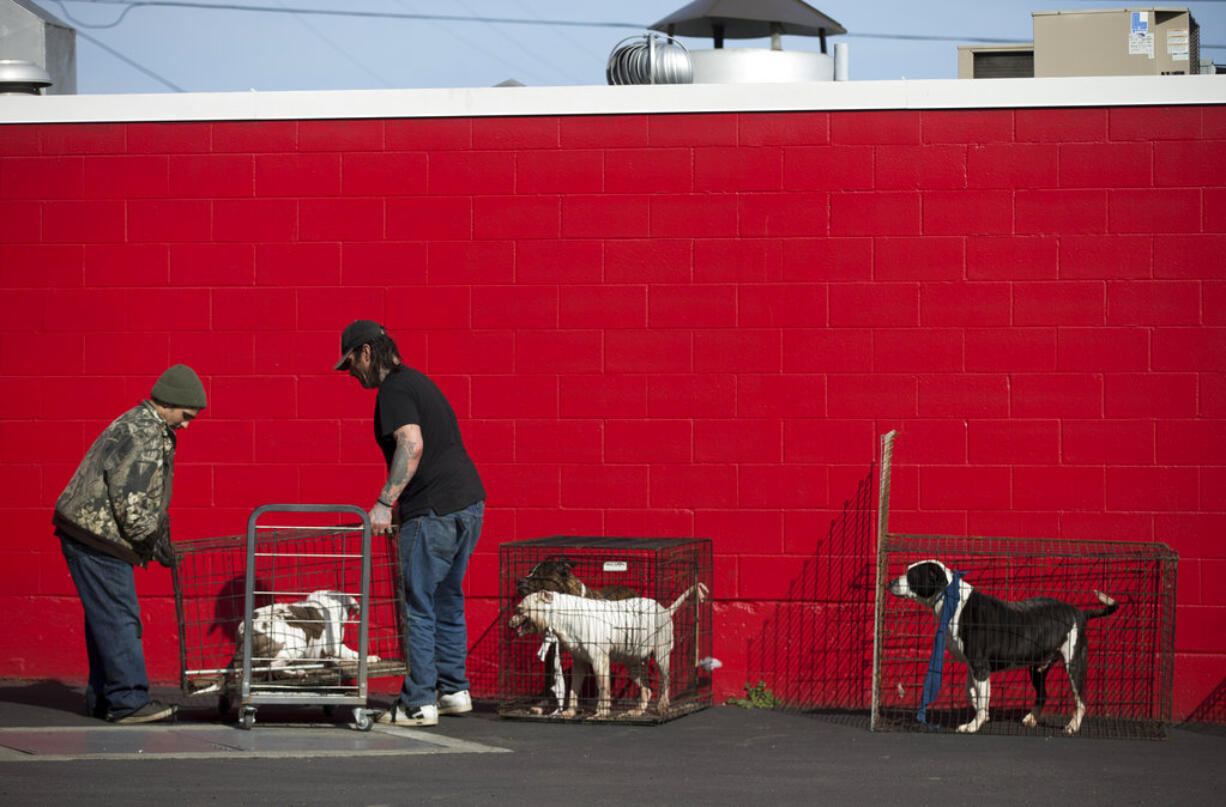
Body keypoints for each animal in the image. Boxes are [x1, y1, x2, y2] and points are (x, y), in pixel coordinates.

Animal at [507, 578, 711, 716]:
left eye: (519, 609)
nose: (509, 623)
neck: (563, 615)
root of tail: (665, 610)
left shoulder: (600, 661)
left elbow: (603, 688)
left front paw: (602, 712)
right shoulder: (580, 662)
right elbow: (573, 690)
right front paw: (570, 712)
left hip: (661, 656)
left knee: (665, 683)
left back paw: (662, 706)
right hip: (634, 664)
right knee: (646, 689)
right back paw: (638, 711)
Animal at [892, 556, 1123, 730]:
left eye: (912, 575)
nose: (892, 582)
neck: (953, 601)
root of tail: (1079, 613)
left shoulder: (980, 665)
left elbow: (980, 695)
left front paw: (973, 725)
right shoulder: (973, 666)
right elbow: (973, 693)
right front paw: (983, 713)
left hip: (1073, 663)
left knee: (1080, 700)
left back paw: (1072, 726)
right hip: (1038, 668)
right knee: (1043, 694)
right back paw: (1031, 718)